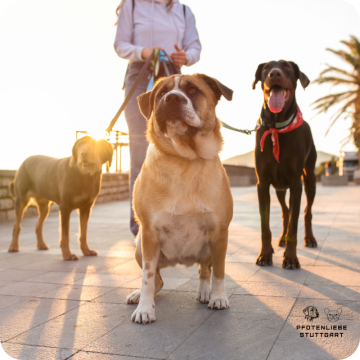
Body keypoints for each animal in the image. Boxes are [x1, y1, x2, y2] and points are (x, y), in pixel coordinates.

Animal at [126, 73, 233, 324]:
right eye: (162, 93)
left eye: (193, 90)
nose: (172, 98)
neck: (185, 159)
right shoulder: (149, 234)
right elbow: (147, 277)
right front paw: (145, 309)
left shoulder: (219, 232)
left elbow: (219, 271)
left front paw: (218, 297)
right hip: (139, 247)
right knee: (157, 281)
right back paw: (139, 295)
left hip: (208, 247)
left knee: (204, 270)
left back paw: (205, 292)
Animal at [253, 60, 318, 268]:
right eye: (265, 68)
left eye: (287, 67)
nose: (274, 74)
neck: (277, 127)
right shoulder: (263, 184)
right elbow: (265, 226)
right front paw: (265, 255)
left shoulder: (296, 184)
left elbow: (294, 226)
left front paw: (290, 258)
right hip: (280, 188)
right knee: (285, 212)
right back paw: (280, 239)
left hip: (309, 179)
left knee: (306, 212)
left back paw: (310, 238)